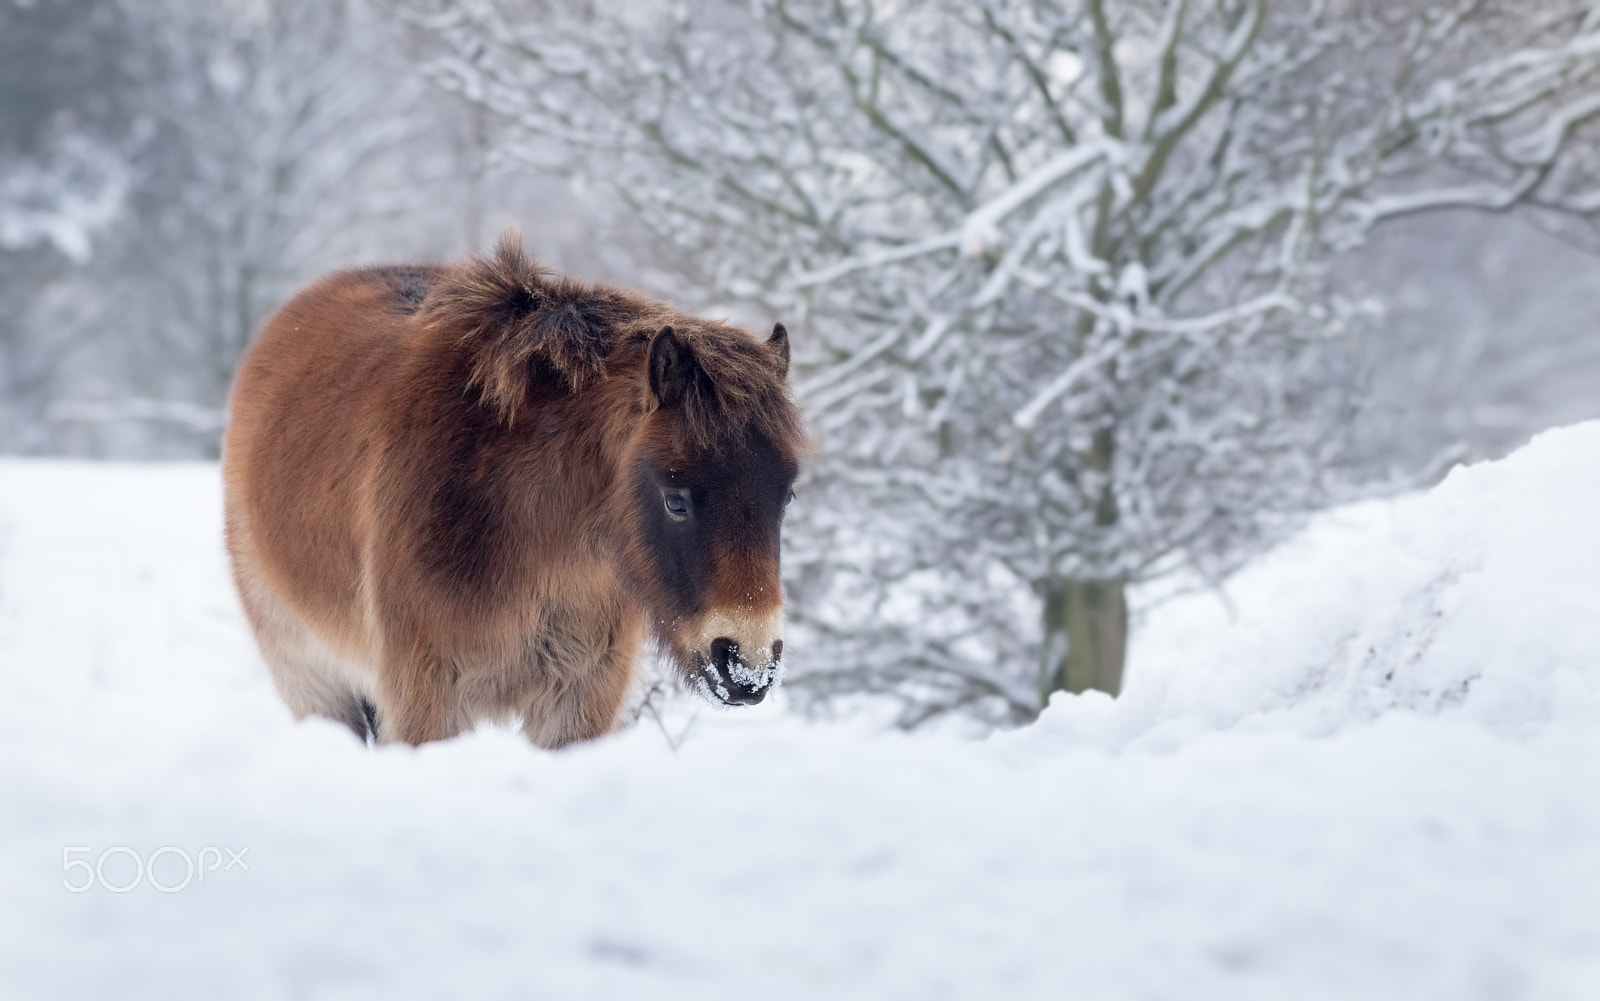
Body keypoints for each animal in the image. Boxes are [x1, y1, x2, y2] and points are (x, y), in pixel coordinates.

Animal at [219, 238, 806, 745]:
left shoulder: (579, 701)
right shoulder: (425, 701)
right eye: (675, 500)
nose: (749, 664)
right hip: (316, 686)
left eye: (787, 497)